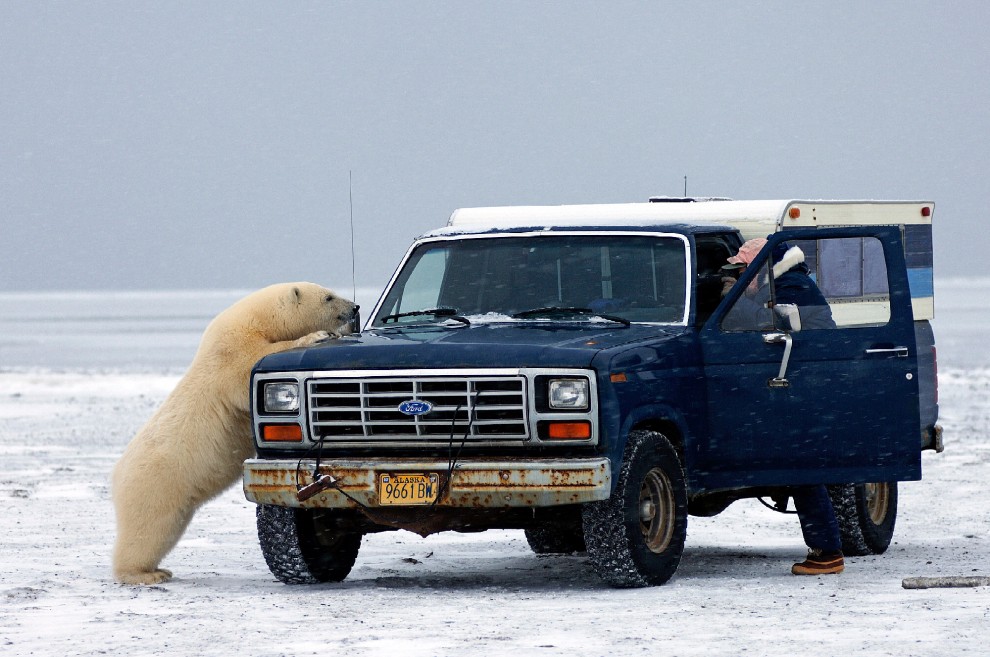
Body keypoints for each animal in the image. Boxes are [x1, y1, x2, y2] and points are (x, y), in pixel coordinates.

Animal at [111, 282, 358, 585]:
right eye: (329, 297)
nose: (354, 308)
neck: (256, 318)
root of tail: (115, 478)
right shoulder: (230, 352)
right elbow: (249, 368)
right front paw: (317, 336)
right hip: (155, 485)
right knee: (150, 530)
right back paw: (147, 573)